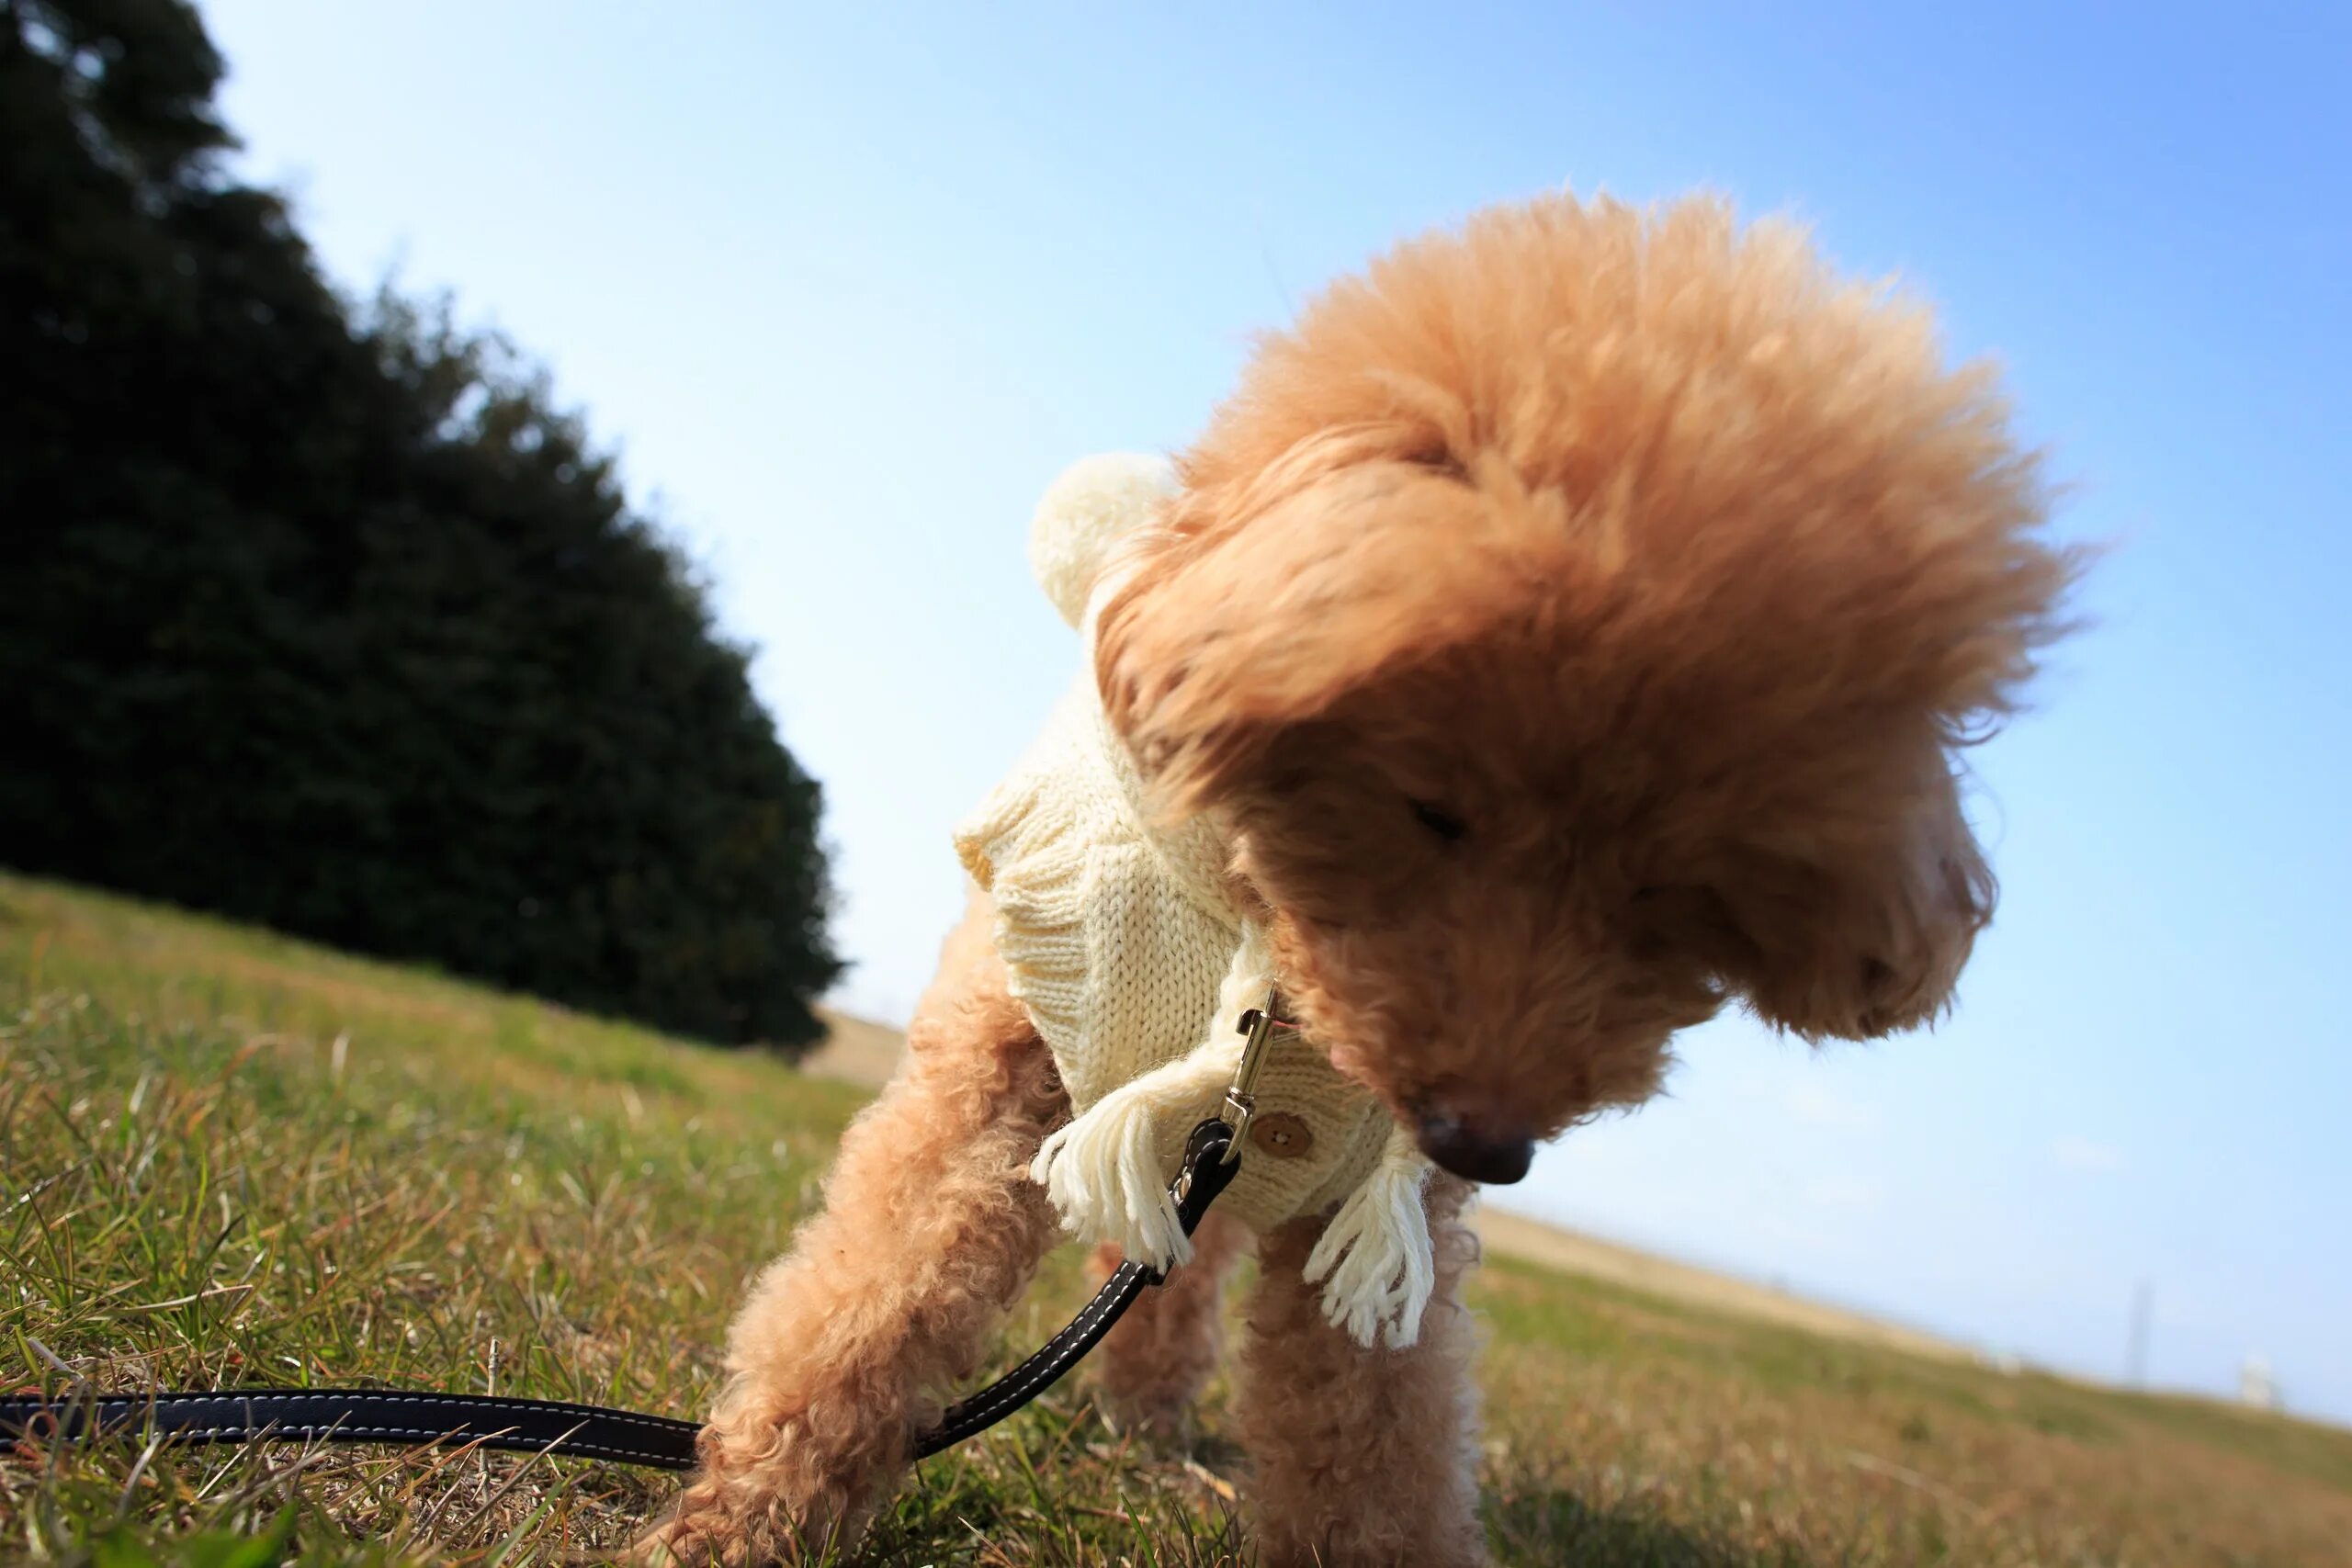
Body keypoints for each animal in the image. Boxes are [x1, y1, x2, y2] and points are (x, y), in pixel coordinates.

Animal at [639, 190, 2079, 1561]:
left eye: (1671, 898)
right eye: (1433, 809)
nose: (1486, 1144)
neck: (1271, 967)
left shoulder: (1376, 1214)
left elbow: (1373, 1428)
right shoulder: (999, 1070)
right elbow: (870, 1299)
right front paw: (746, 1521)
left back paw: (1148, 1414)